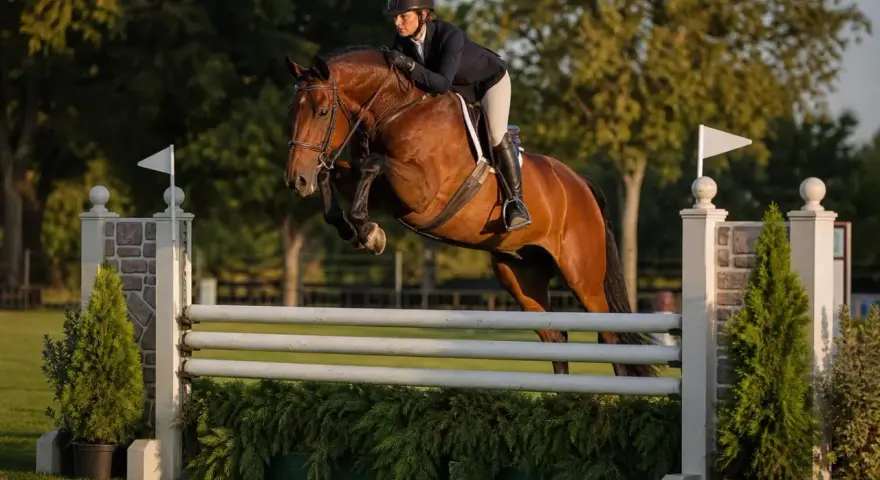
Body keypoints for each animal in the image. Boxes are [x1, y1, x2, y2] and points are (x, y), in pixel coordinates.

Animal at [283, 45, 658, 377]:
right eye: (293, 113)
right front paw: (349, 226)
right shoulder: (384, 193)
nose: (296, 180)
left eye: (321, 112)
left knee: (611, 338)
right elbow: (338, 174)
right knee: (555, 337)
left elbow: (372, 165)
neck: (397, 109)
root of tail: (581, 185)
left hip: (583, 278)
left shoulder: (420, 193)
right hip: (521, 275)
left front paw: (369, 233)